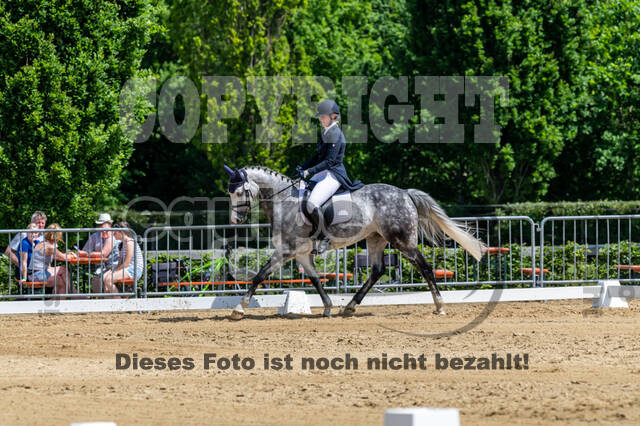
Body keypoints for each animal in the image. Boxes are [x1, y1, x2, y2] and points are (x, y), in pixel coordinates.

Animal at [224, 165, 485, 319]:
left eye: (238, 192)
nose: (235, 220)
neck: (285, 201)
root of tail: (405, 194)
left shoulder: (286, 250)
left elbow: (260, 274)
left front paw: (239, 308)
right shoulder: (301, 253)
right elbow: (316, 280)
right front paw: (328, 307)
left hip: (403, 241)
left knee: (425, 267)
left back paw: (440, 306)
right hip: (375, 239)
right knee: (377, 270)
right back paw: (350, 306)